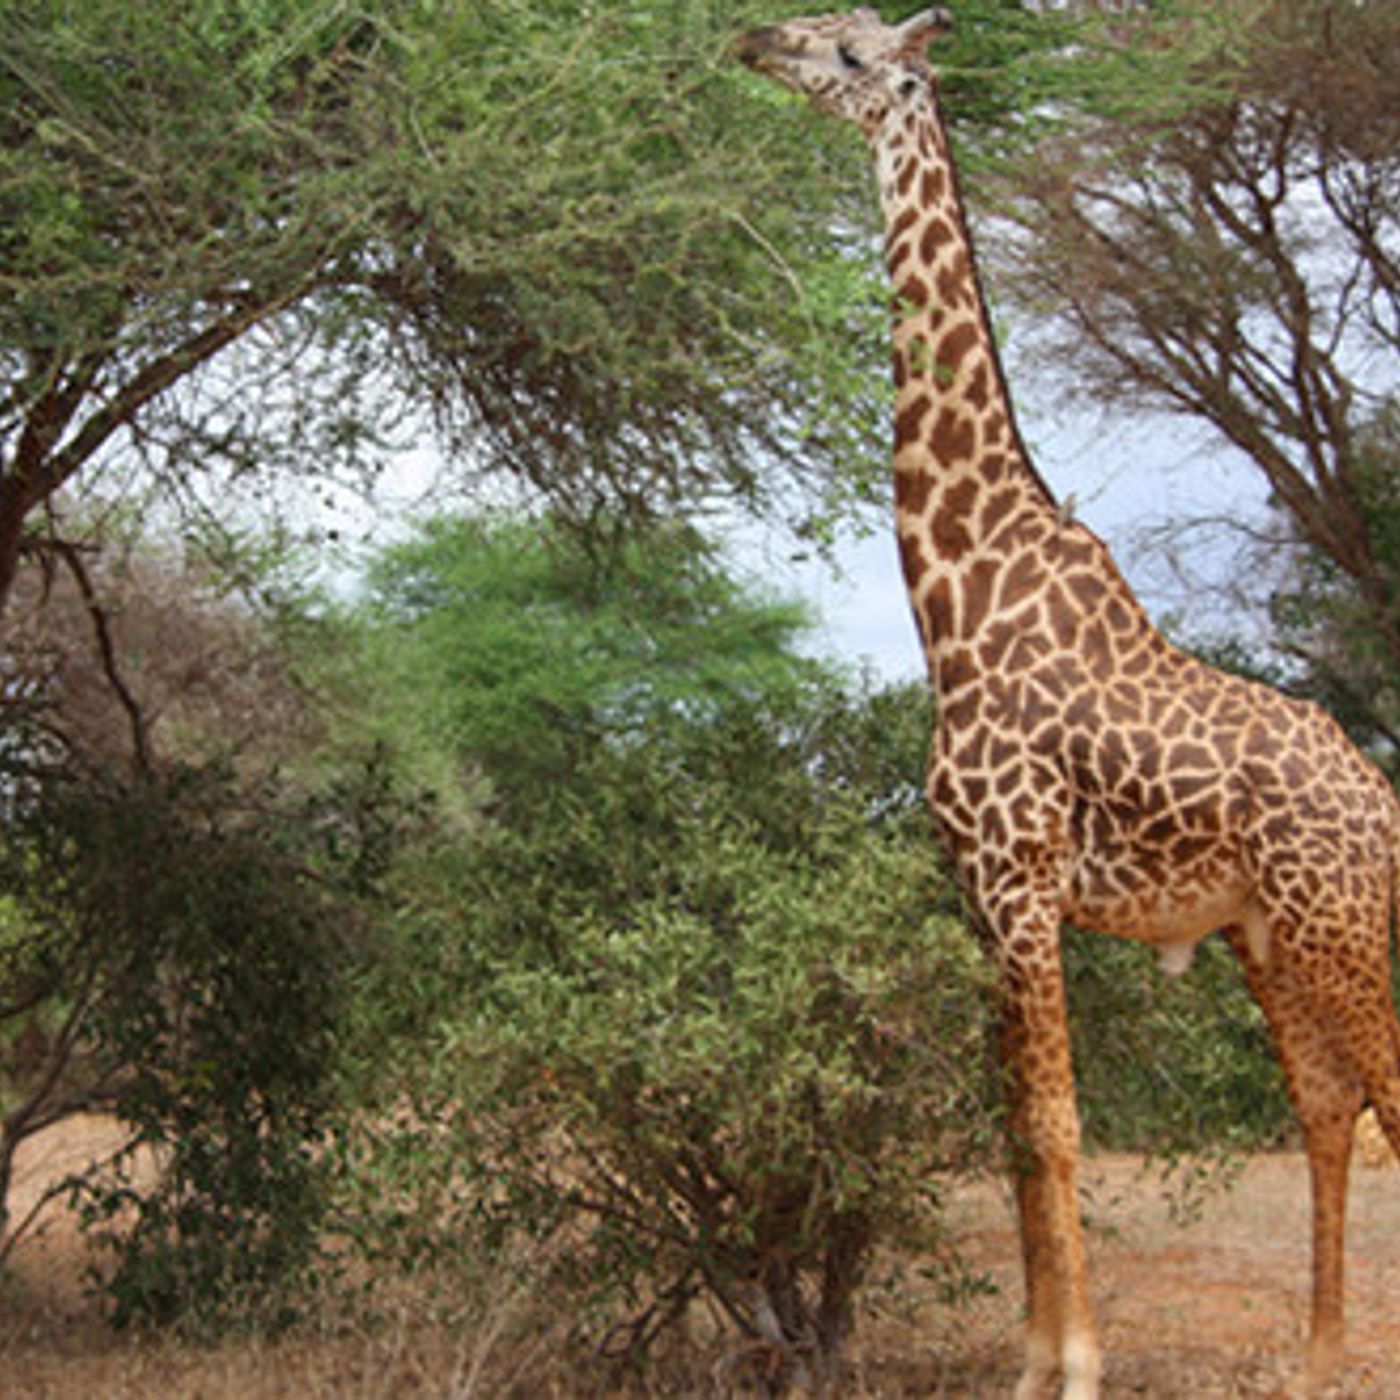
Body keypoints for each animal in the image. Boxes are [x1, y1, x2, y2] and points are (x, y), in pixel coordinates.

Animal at [735, 9, 1400, 1397]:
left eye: (847, 52)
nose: (753, 38)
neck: (955, 590)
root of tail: (1379, 798)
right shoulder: (980, 891)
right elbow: (1011, 1130)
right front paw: (1032, 1357)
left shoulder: (1022, 874)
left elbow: (1054, 1120)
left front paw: (1077, 1364)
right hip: (1268, 933)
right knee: (1323, 1103)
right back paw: (1315, 1358)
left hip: (1337, 922)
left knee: (1385, 1096)